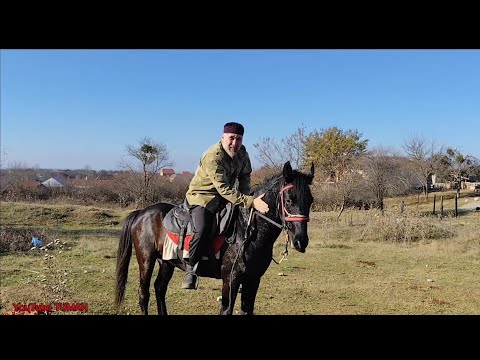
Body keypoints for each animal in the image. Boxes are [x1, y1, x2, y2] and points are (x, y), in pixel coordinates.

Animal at [115, 161, 314, 316]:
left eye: (310, 201)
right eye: (289, 200)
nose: (301, 241)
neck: (246, 232)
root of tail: (142, 213)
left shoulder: (253, 280)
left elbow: (246, 310)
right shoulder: (231, 280)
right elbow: (226, 310)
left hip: (166, 262)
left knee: (159, 289)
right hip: (146, 261)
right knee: (144, 294)